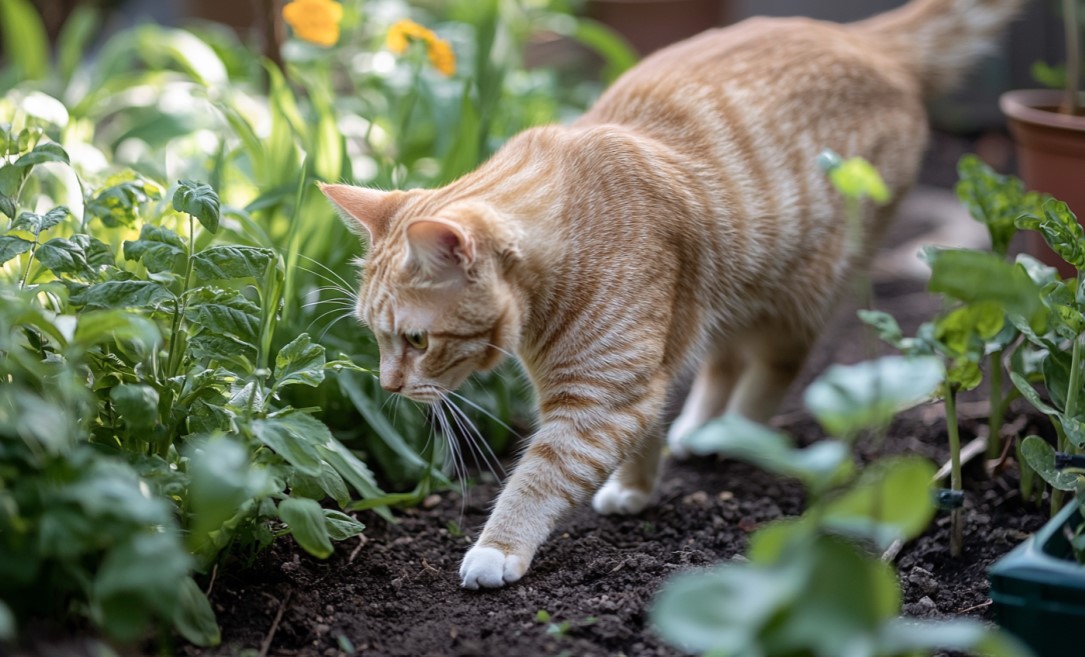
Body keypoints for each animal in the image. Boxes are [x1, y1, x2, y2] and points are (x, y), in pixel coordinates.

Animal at [318, 0, 1024, 589]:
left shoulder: (602, 398)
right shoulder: (639, 373)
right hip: (726, 293)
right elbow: (645, 427)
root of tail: (863, 37)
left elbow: (539, 476)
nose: (386, 385)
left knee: (777, 364)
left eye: (416, 339)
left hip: (799, 291)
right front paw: (637, 487)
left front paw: (498, 549)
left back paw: (731, 432)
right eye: (374, 336)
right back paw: (702, 426)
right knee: (724, 359)